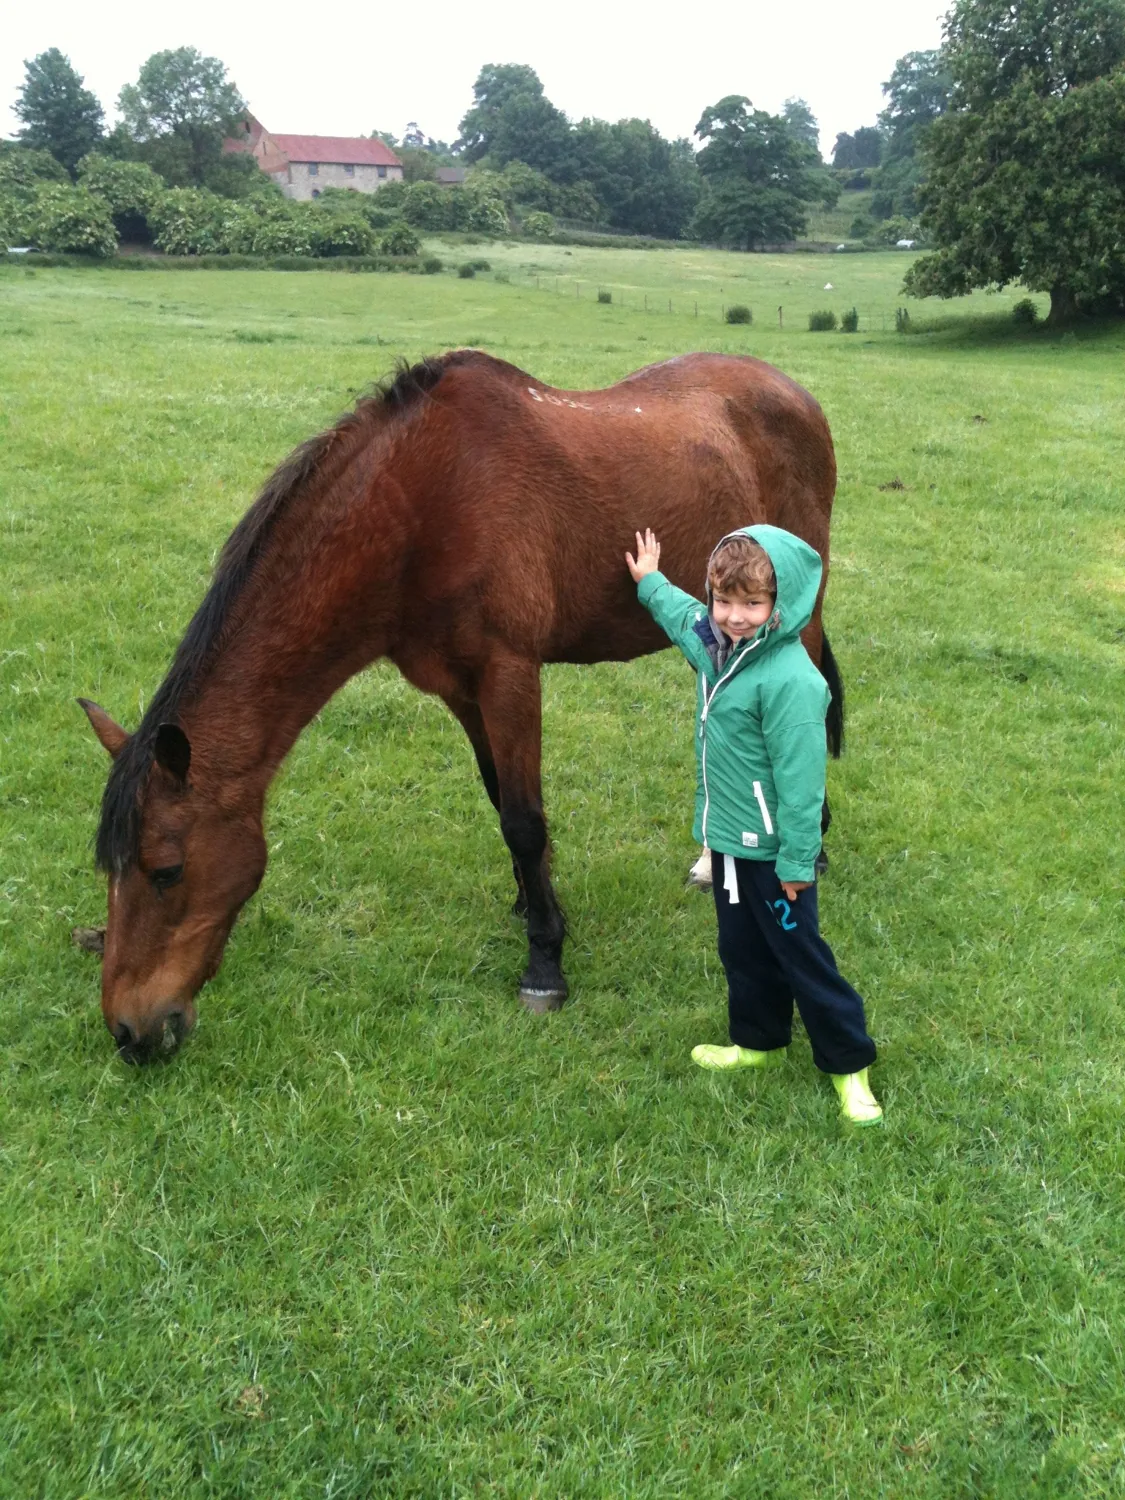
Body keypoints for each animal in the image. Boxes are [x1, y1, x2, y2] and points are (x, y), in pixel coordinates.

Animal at [79, 349, 842, 1064]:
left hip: (795, 611)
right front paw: (532, 903)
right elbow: (499, 798)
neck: (421, 504)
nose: (129, 1030)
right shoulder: (458, 687)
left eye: (166, 870)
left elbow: (524, 820)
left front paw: (544, 963)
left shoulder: (509, 673)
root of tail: (791, 391)